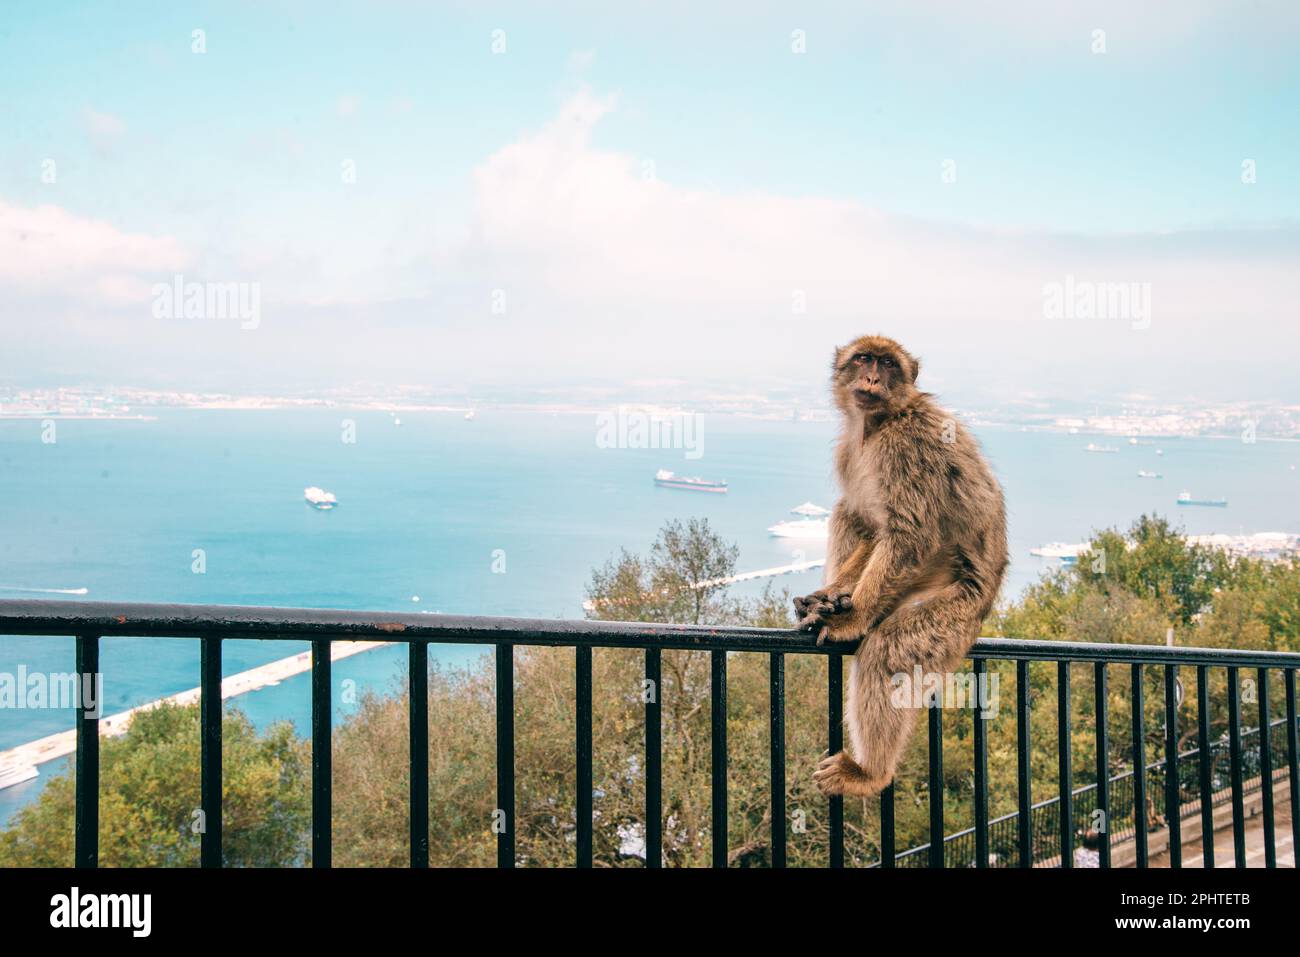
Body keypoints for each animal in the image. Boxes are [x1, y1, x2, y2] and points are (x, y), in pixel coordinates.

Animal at [785, 332, 1008, 795]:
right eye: (864, 359)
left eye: (888, 365)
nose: (872, 377)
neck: (879, 424)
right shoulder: (849, 451)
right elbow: (872, 527)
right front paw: (830, 597)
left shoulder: (908, 446)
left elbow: (909, 536)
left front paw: (851, 619)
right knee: (848, 512)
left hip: (955, 610)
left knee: (889, 652)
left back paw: (870, 772)